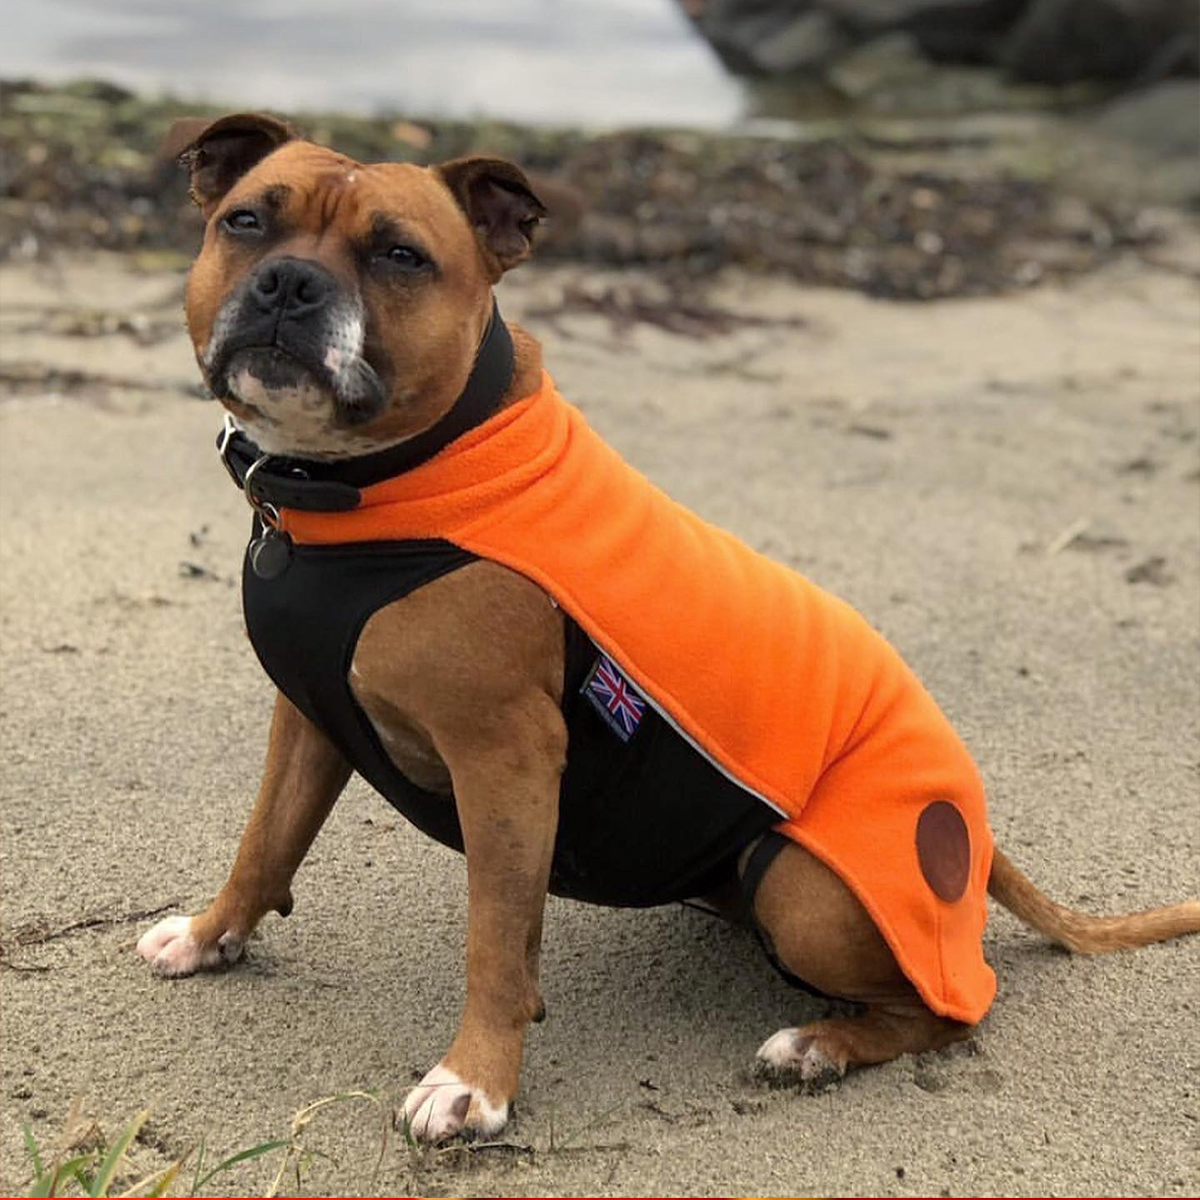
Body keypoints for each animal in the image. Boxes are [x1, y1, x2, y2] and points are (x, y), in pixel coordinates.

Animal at [138, 114, 1200, 1142]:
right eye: (246, 222)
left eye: (401, 255)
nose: (289, 283)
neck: (385, 481)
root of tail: (979, 837)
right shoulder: (309, 718)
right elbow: (266, 840)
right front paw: (211, 934)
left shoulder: (507, 761)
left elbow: (494, 938)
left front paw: (475, 1083)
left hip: (805, 887)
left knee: (952, 1008)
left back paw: (819, 1045)